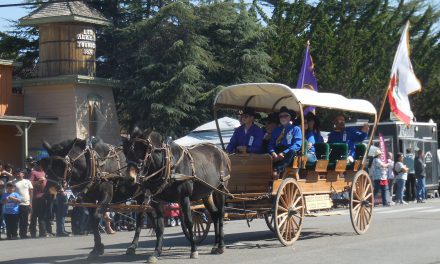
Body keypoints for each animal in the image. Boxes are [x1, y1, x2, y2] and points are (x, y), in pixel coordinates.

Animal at [124, 128, 230, 262]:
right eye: (127, 152)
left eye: (141, 150)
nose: (130, 178)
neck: (168, 166)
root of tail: (221, 151)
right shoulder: (156, 201)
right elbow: (159, 227)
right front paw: (156, 252)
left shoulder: (184, 197)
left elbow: (189, 222)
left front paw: (194, 250)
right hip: (207, 193)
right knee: (214, 214)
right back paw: (215, 245)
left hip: (220, 189)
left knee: (220, 214)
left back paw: (221, 246)